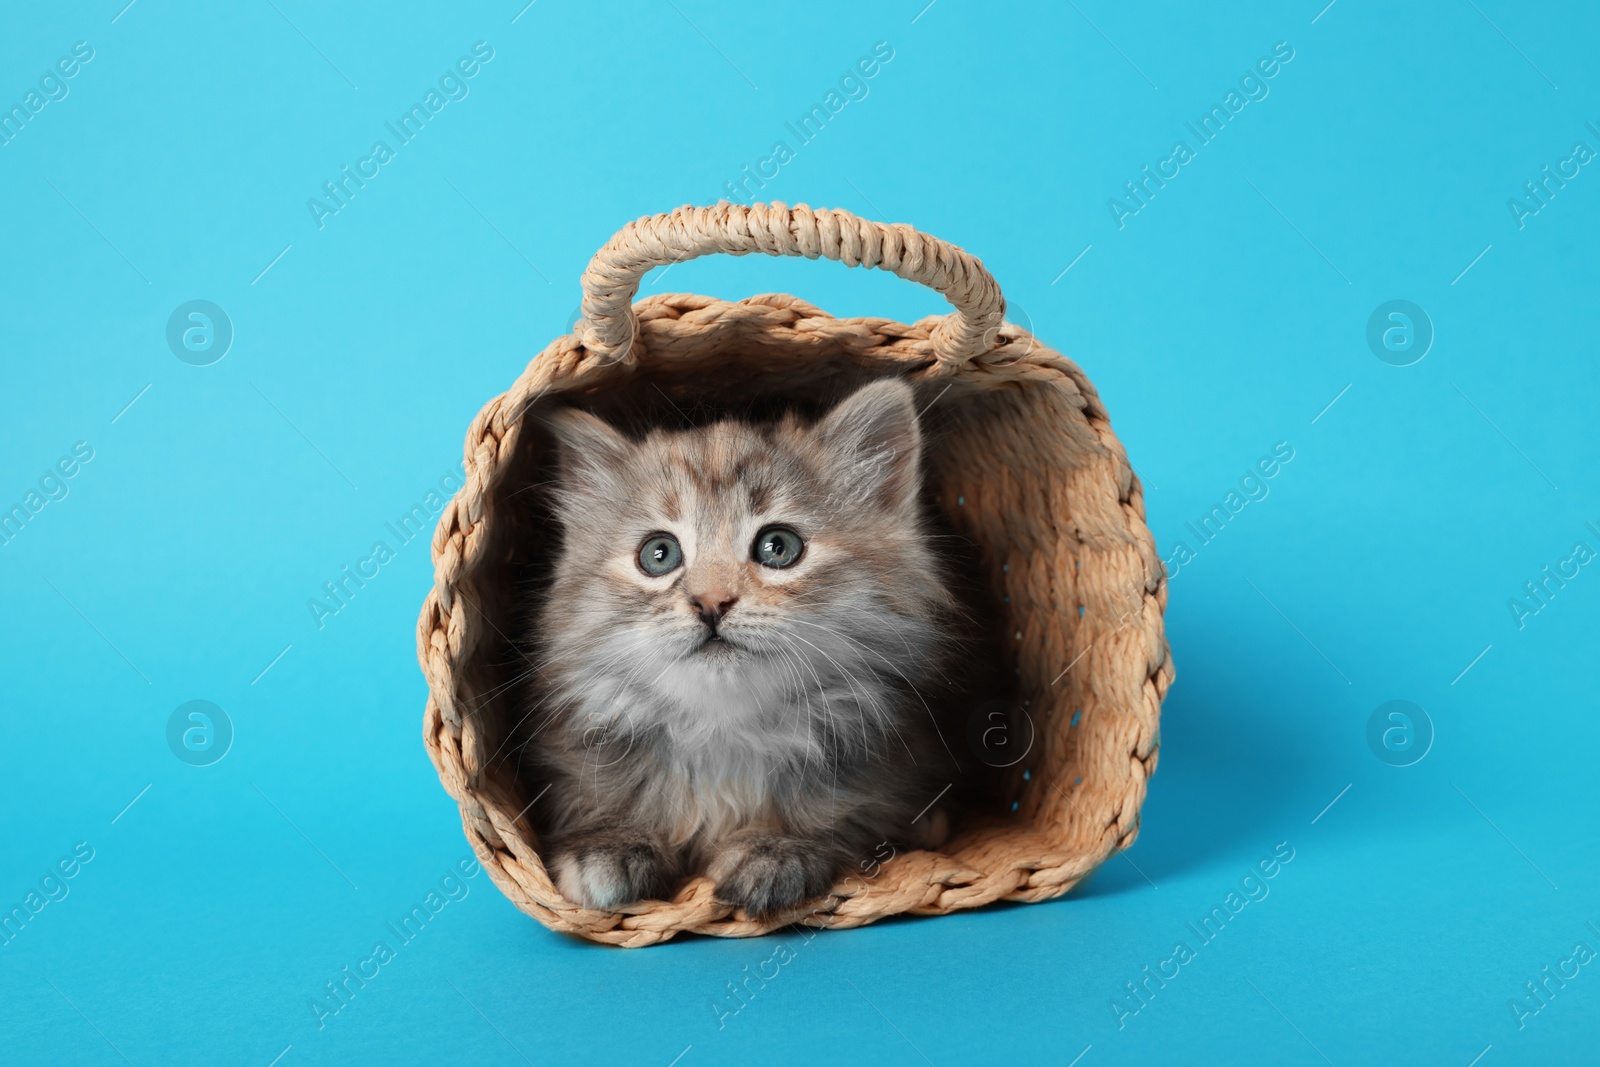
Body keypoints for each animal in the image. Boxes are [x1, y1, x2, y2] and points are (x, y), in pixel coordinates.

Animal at [524, 377, 960, 921]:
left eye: (778, 547)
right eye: (658, 555)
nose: (711, 603)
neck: (724, 731)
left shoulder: (884, 773)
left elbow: (840, 816)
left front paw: (772, 848)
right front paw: (608, 844)